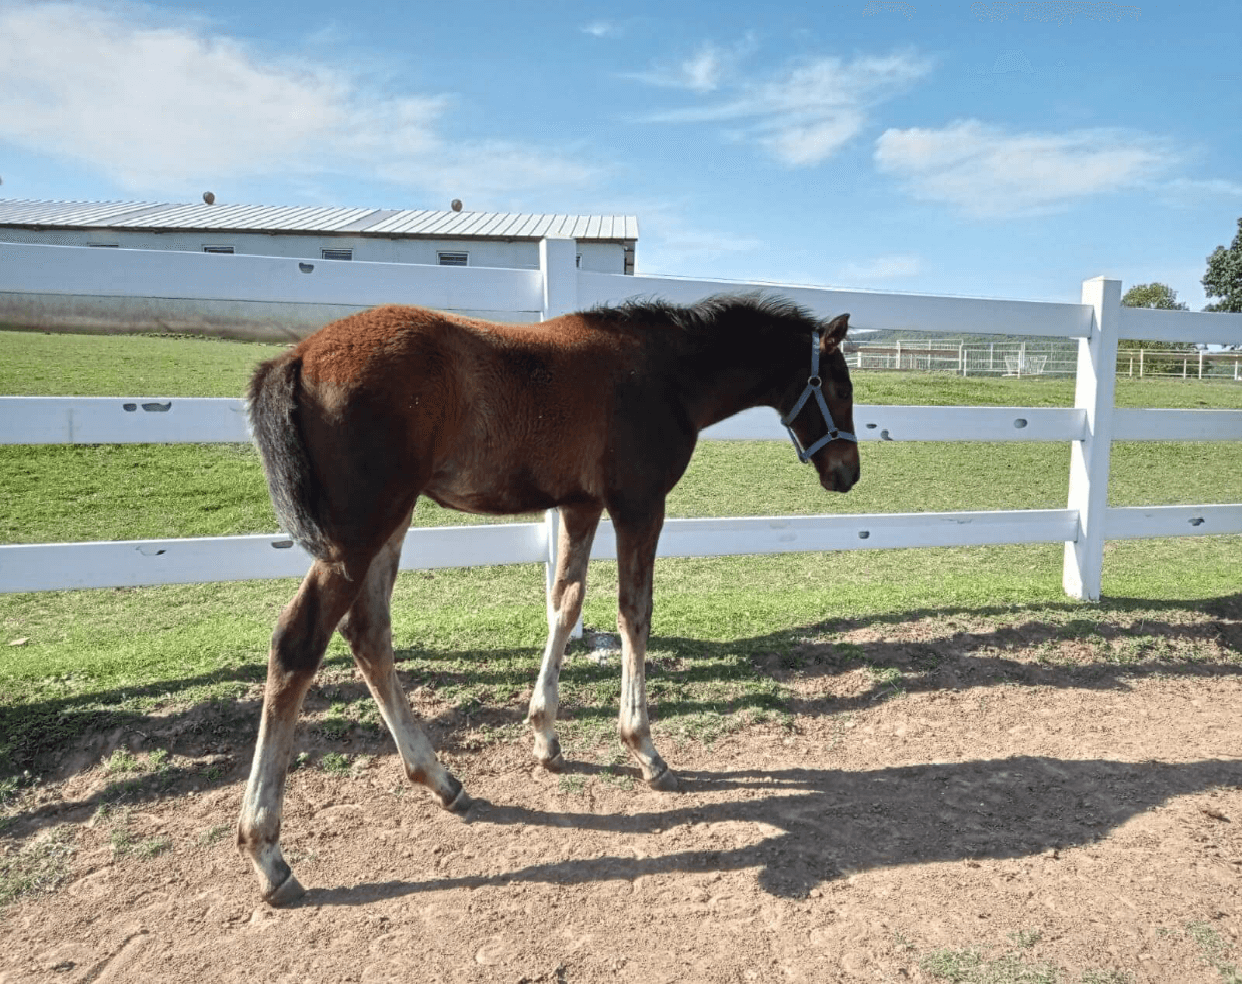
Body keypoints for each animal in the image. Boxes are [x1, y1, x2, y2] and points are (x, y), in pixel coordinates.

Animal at [237, 295, 859, 904]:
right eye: (840, 387)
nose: (846, 473)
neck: (665, 371)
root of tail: (295, 357)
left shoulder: (581, 504)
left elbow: (566, 602)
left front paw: (545, 736)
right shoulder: (638, 504)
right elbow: (634, 612)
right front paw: (644, 749)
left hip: (389, 524)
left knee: (368, 633)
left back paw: (440, 780)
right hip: (359, 533)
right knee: (298, 642)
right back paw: (266, 851)